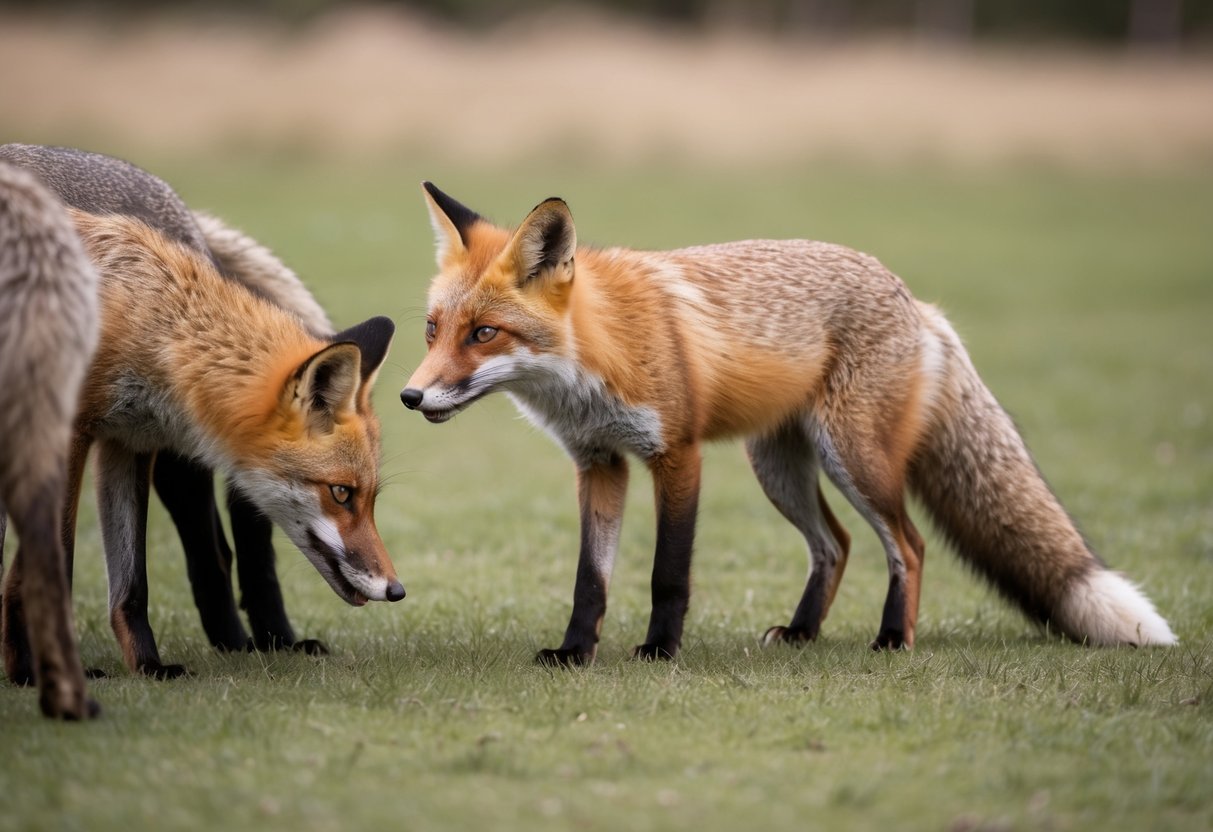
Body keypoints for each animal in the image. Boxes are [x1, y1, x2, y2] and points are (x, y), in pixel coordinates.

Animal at [2, 203, 403, 682]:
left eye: (371, 498)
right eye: (341, 493)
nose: (397, 589)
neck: (148, 321)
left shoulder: (127, 443)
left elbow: (132, 582)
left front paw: (149, 666)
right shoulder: (68, 434)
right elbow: (50, 562)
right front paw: (32, 671)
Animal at [402, 183, 1177, 665]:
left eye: (484, 334)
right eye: (434, 330)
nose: (409, 396)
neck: (599, 349)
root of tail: (915, 300)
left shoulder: (676, 454)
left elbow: (667, 573)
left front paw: (658, 651)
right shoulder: (599, 462)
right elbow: (590, 578)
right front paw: (574, 653)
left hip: (853, 461)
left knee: (908, 544)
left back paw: (893, 639)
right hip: (777, 467)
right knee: (835, 544)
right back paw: (804, 632)